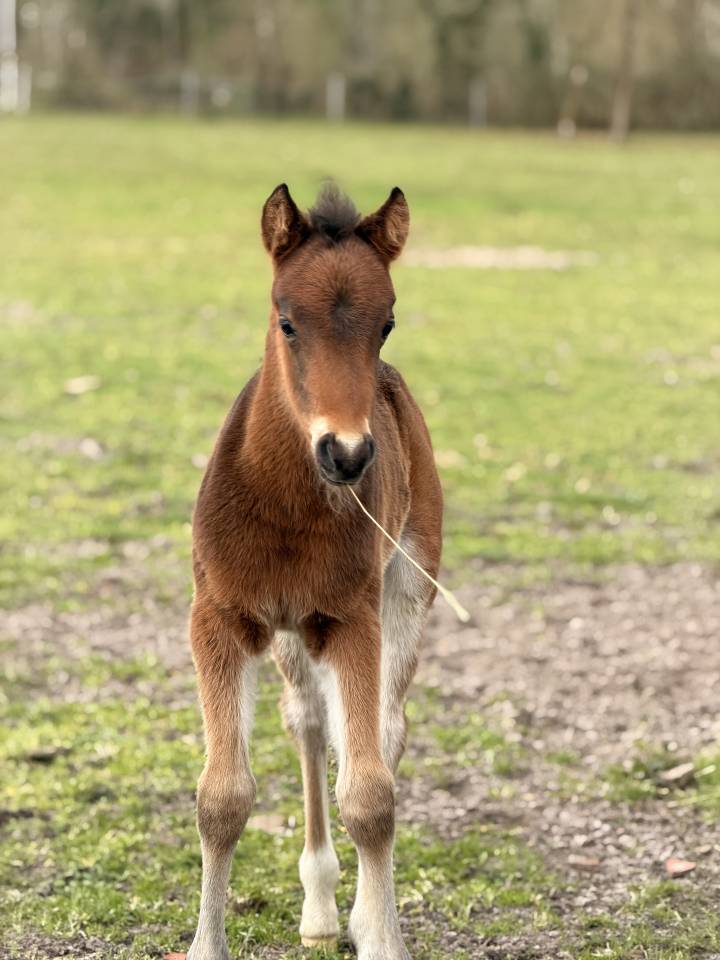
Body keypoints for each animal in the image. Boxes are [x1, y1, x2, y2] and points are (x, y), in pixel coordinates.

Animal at [186, 182, 443, 960]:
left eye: (387, 323)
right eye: (287, 322)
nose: (348, 453)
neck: (284, 509)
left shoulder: (352, 618)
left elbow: (370, 793)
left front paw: (383, 937)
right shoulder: (219, 618)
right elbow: (221, 797)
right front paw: (206, 945)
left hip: (406, 585)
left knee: (383, 731)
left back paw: (356, 911)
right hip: (291, 633)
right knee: (306, 720)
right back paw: (321, 906)